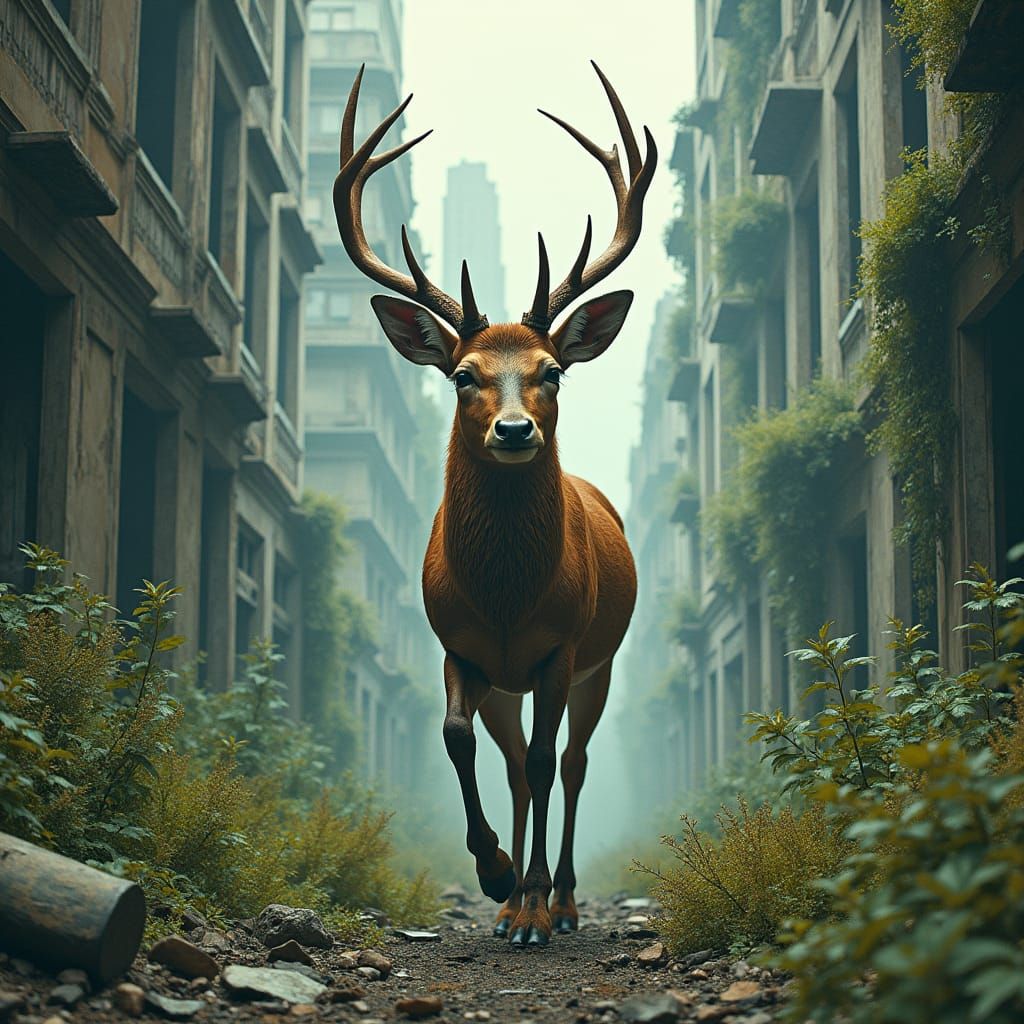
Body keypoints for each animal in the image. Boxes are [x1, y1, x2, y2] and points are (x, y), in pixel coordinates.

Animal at [333, 62, 656, 947]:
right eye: (461, 374)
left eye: (552, 370)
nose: (514, 431)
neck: (509, 598)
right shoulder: (462, 647)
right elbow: (455, 740)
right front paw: (495, 875)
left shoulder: (560, 647)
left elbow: (549, 765)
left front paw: (536, 903)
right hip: (509, 687)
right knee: (513, 765)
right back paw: (513, 896)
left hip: (598, 663)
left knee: (569, 765)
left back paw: (563, 900)